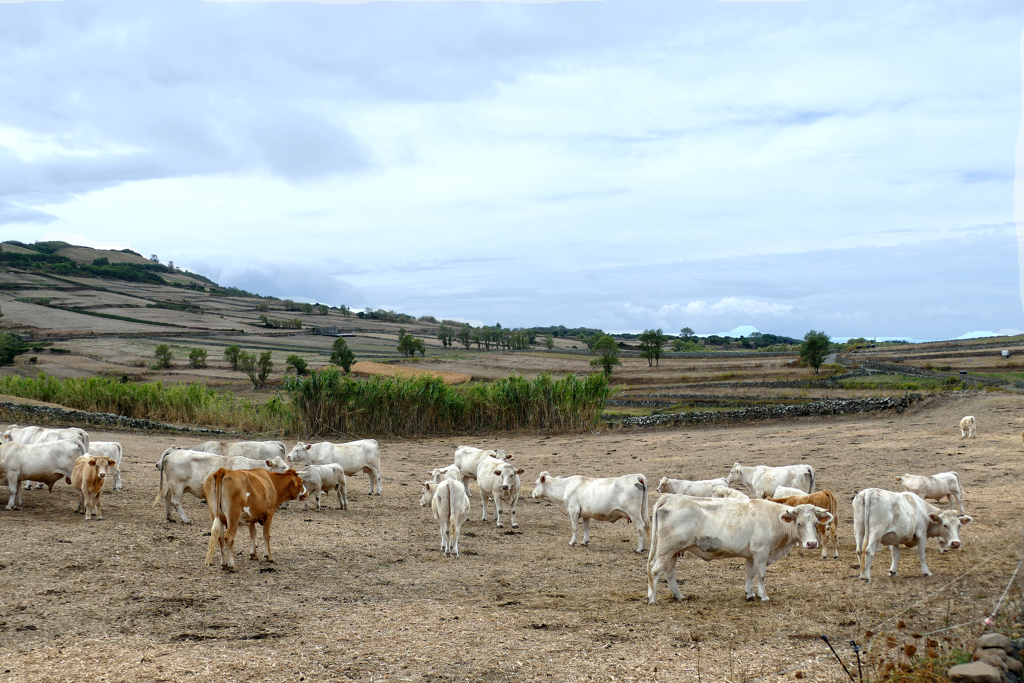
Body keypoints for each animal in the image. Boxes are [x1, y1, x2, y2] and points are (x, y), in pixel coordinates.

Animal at [155, 448, 292, 524]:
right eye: (282, 467)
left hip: (171, 486)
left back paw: (170, 517)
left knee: (167, 497)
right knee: (176, 502)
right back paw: (185, 519)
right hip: (177, 486)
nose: (292, 473)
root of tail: (173, 452)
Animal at [647, 497, 831, 602]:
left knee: (669, 572)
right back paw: (653, 599)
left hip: (673, 552)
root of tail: (670, 499)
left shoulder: (750, 555)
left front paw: (749, 594)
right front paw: (764, 596)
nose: (812, 543)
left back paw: (678, 596)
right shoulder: (761, 552)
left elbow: (749, 574)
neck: (774, 520)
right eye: (799, 523)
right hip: (666, 549)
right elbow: (761, 575)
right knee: (655, 570)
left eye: (816, 523)